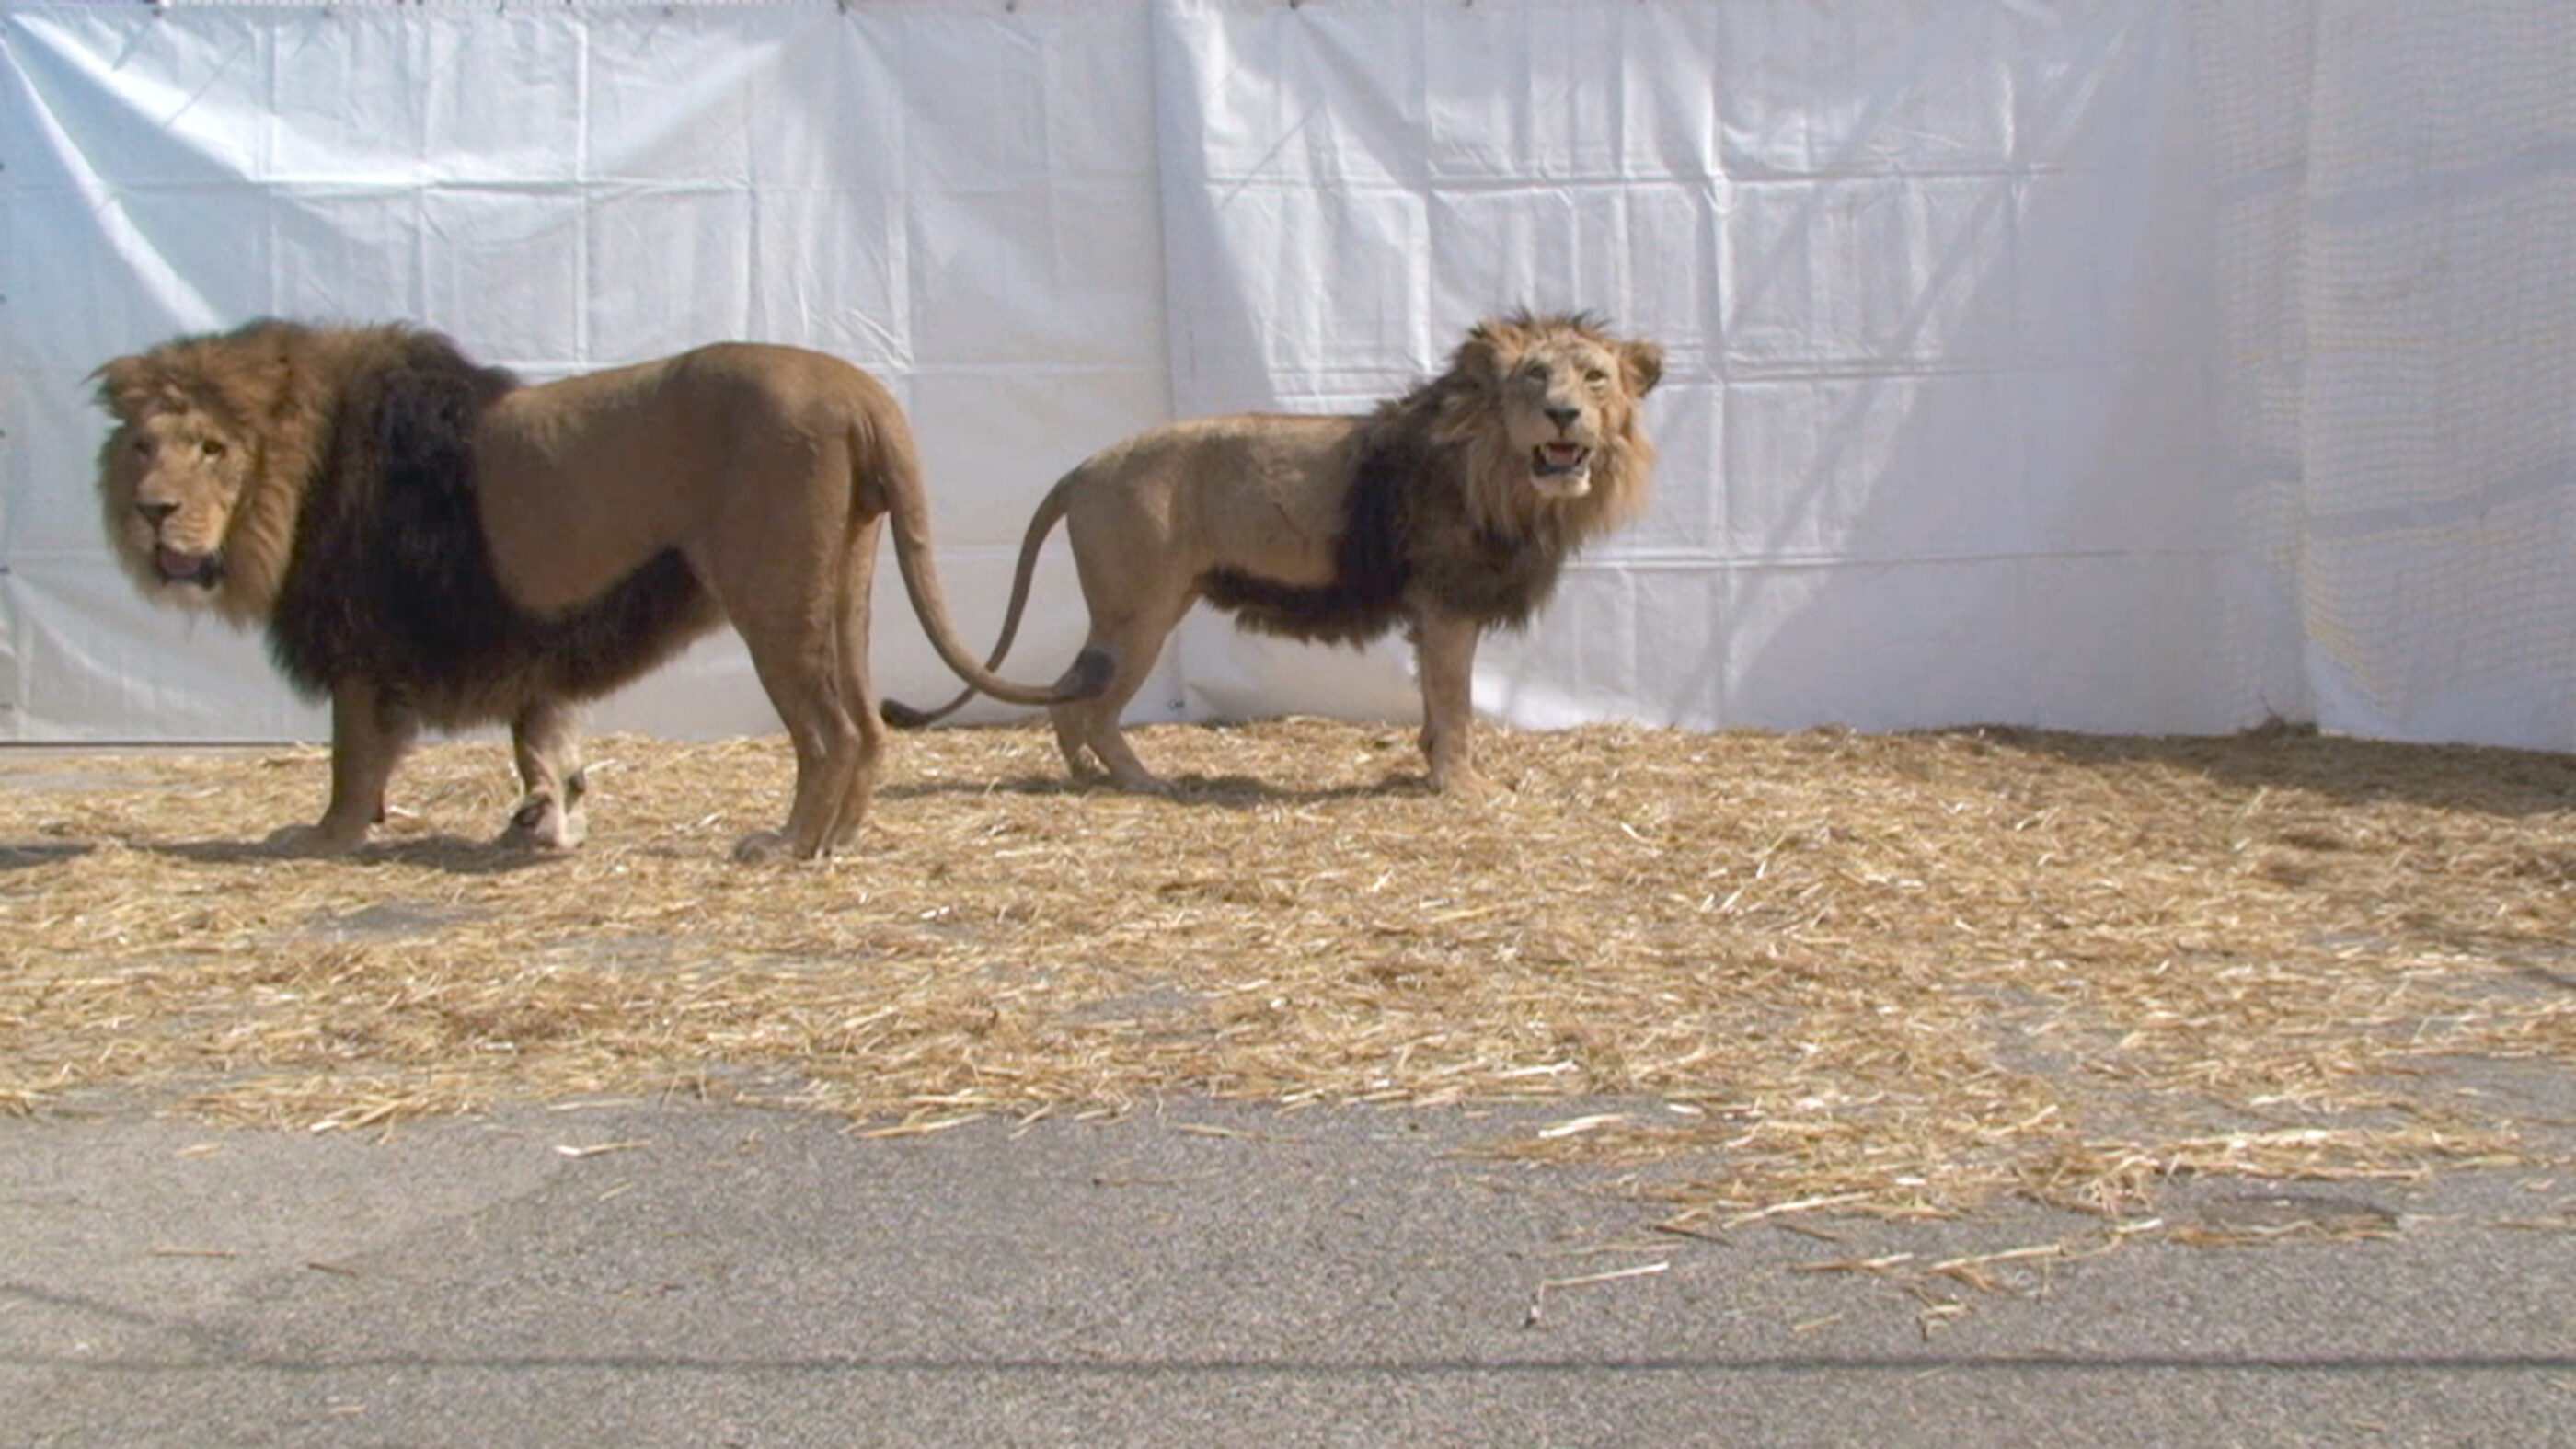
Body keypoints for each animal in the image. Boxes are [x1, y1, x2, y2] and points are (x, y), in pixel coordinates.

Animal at [93, 316, 1108, 856]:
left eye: (212, 448)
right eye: (143, 444)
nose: (151, 511)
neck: (295, 475)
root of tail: (860, 390)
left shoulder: (363, 644)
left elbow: (354, 759)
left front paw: (326, 839)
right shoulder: (521, 645)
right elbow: (541, 742)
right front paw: (544, 823)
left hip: (773, 593)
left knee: (833, 730)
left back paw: (785, 847)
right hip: (844, 582)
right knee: (863, 722)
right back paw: (837, 841)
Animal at [876, 309, 1659, 794]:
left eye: (1595, 377)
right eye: (1535, 377)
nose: (1564, 415)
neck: (1506, 475)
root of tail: (1083, 467)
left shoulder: (1432, 613)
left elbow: (1437, 708)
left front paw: (1429, 767)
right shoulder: (1446, 605)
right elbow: (1455, 702)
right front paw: (1461, 786)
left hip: (1139, 609)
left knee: (1070, 698)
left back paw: (1088, 779)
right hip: (1139, 612)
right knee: (1089, 706)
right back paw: (1142, 781)